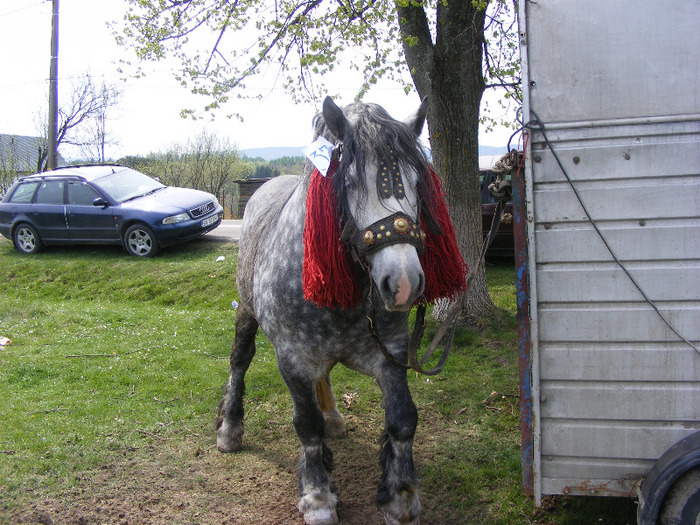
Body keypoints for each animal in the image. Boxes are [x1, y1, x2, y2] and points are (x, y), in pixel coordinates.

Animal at [216, 98, 434, 524]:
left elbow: (403, 419)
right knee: (240, 359)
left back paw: (333, 417)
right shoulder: (293, 358)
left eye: (417, 182)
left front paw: (401, 497)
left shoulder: (391, 353)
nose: (402, 282)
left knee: (324, 378)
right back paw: (230, 429)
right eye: (349, 183)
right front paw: (318, 497)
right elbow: (306, 426)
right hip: (246, 311)